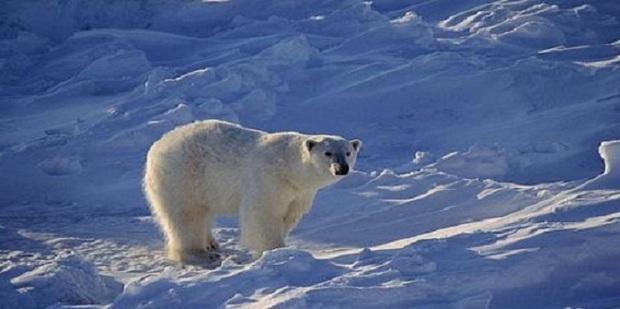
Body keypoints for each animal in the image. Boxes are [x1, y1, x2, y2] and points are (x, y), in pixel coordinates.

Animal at [143, 119, 360, 262]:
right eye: (328, 153)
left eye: (348, 152)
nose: (342, 168)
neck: (289, 167)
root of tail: (158, 146)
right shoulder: (268, 180)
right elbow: (264, 215)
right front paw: (276, 250)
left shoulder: (299, 193)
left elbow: (289, 215)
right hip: (183, 176)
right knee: (186, 215)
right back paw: (199, 254)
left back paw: (211, 243)